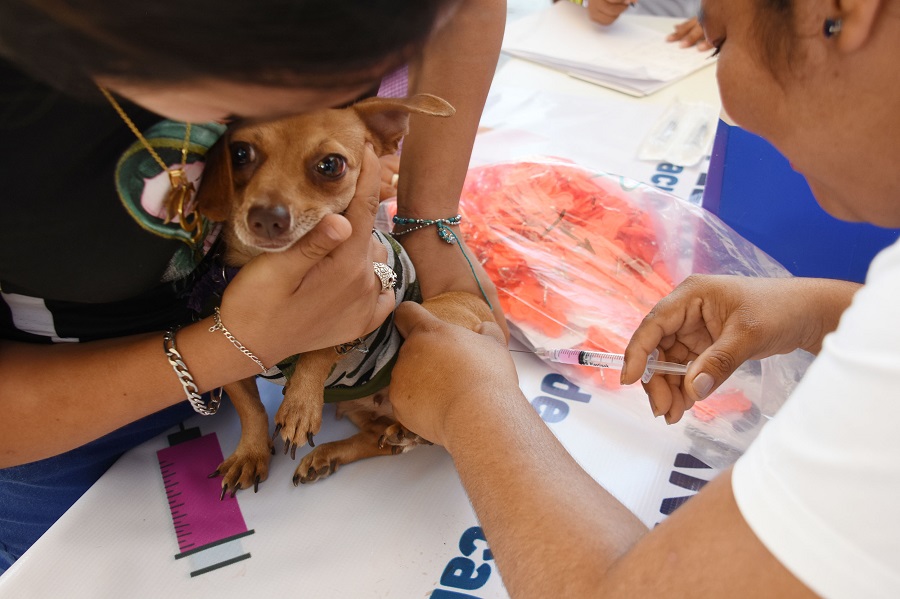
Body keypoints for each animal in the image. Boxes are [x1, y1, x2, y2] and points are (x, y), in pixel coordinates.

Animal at [197, 95, 496, 496]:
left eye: (331, 165)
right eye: (240, 153)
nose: (267, 217)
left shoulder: (356, 312)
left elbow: (321, 347)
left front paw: (300, 404)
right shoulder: (229, 359)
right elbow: (250, 408)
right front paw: (250, 452)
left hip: (430, 320)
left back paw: (405, 433)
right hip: (362, 413)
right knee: (378, 442)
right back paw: (337, 454)